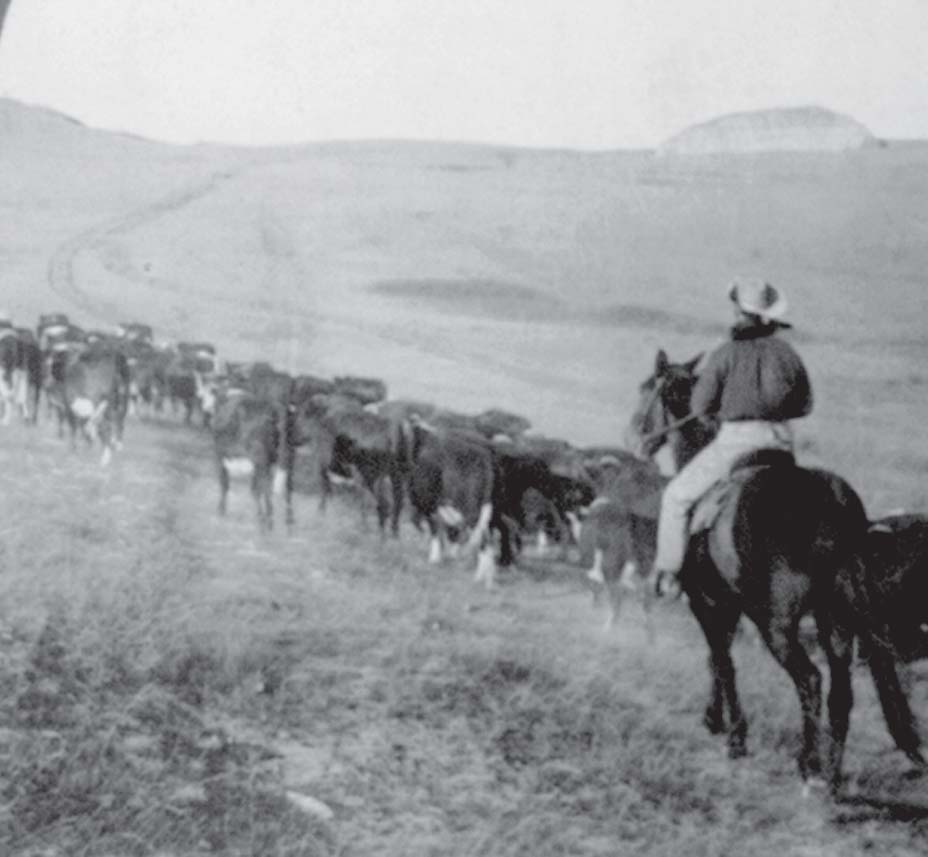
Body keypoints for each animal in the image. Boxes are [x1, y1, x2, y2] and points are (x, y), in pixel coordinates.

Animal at [624, 352, 920, 792]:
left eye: (646, 389)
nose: (633, 440)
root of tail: (833, 504)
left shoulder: (706, 601)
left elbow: (722, 660)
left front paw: (734, 735)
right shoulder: (727, 603)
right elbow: (717, 660)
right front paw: (716, 720)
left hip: (776, 624)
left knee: (810, 680)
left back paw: (808, 766)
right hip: (837, 622)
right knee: (840, 692)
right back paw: (831, 776)